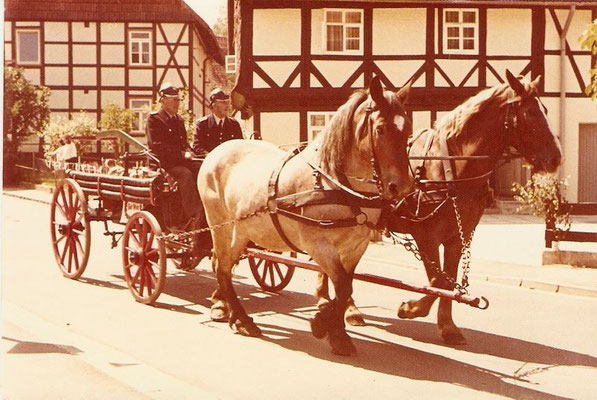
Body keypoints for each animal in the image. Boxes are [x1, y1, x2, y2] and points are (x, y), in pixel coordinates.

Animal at [198, 76, 412, 354]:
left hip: (243, 232)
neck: (333, 182)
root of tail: (217, 151)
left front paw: (336, 331)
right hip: (221, 227)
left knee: (223, 265)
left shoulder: (356, 246)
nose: (403, 187)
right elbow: (342, 284)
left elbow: (345, 287)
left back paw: (231, 312)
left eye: (408, 130)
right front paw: (324, 324)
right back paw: (240, 318)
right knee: (221, 266)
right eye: (381, 129)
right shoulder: (318, 245)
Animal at [314, 70, 560, 346]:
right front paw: (410, 308)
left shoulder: (458, 237)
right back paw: (342, 306)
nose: (556, 158)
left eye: (545, 109)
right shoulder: (426, 236)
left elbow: (446, 282)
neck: (450, 165)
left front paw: (448, 326)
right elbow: (436, 280)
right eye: (531, 113)